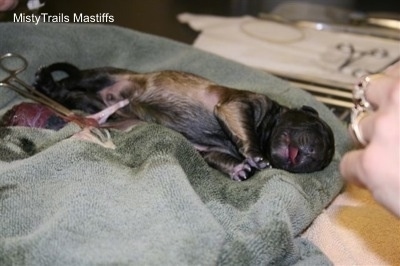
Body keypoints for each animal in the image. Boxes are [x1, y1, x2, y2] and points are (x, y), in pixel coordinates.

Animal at [33, 63, 334, 181]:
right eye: (317, 127)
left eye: (320, 164)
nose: (313, 153)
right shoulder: (238, 105)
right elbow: (244, 128)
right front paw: (255, 156)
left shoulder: (209, 150)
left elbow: (218, 158)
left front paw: (239, 169)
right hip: (102, 76)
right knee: (73, 80)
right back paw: (46, 80)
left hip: (96, 104)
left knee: (72, 95)